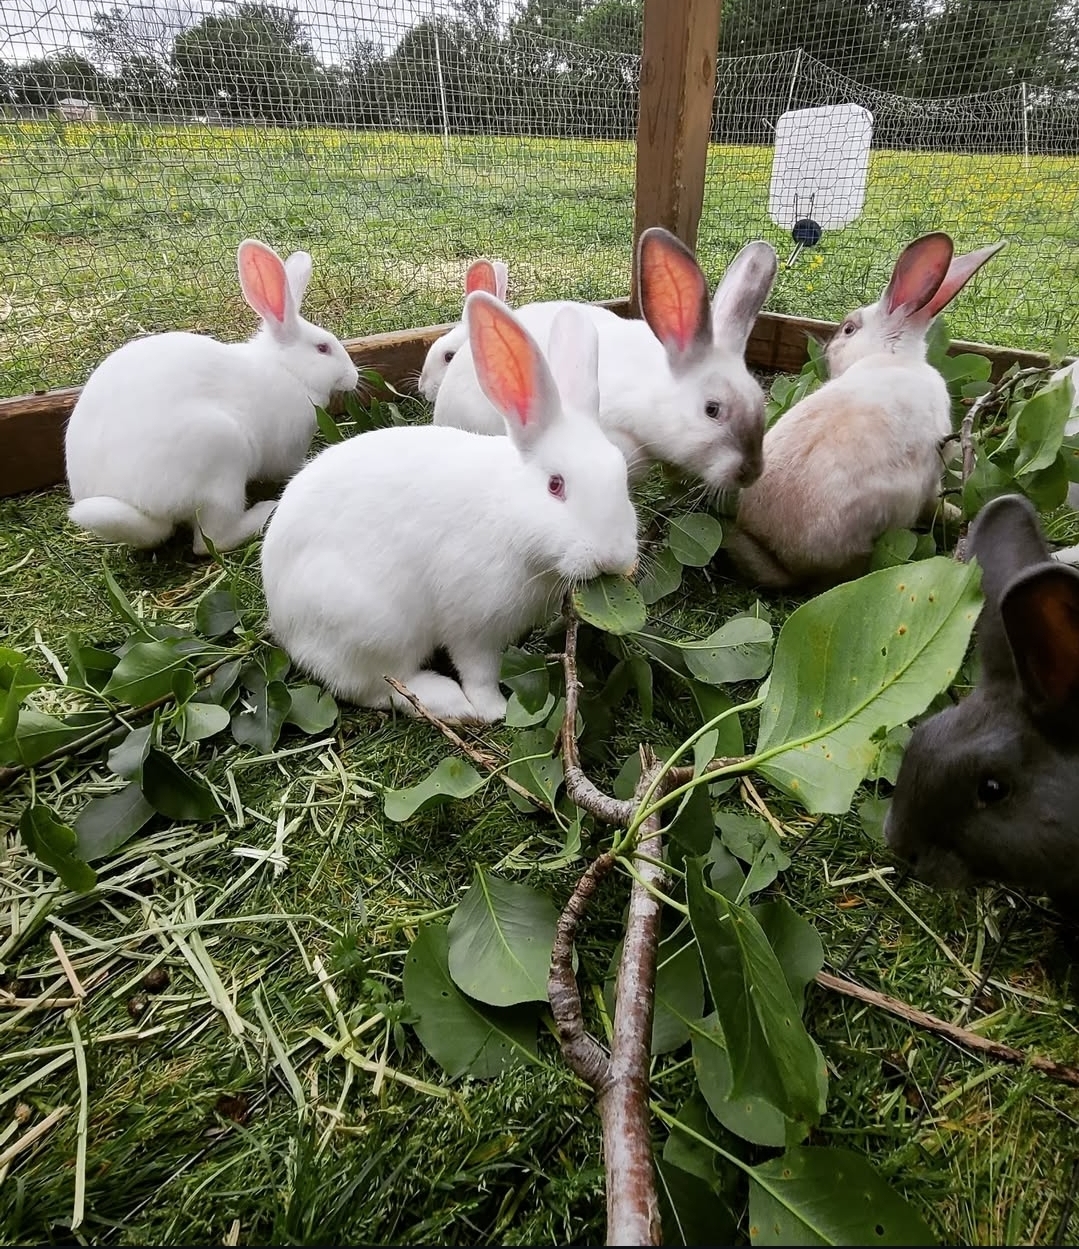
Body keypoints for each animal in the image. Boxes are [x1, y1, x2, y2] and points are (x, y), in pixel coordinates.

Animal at [65, 238, 359, 555]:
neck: (287, 370)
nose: (354, 376)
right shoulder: (288, 447)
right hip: (222, 463)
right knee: (209, 541)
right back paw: (264, 511)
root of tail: (143, 508)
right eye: (323, 348)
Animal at [259, 291, 639, 725]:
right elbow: (479, 670)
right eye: (555, 485)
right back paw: (449, 702)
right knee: (376, 685)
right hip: (374, 624)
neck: (509, 514)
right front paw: (495, 710)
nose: (613, 558)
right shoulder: (472, 625)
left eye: (621, 473)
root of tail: (282, 620)